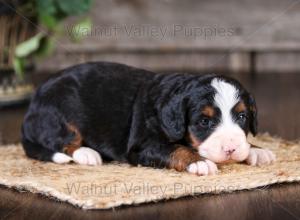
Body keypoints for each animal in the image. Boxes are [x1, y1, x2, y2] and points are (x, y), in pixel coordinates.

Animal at [21, 61, 276, 174]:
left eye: (242, 116)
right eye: (204, 122)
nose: (231, 149)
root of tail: (31, 109)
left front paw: (256, 150)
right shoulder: (142, 146)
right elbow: (176, 149)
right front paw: (199, 161)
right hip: (59, 112)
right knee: (63, 141)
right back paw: (87, 154)